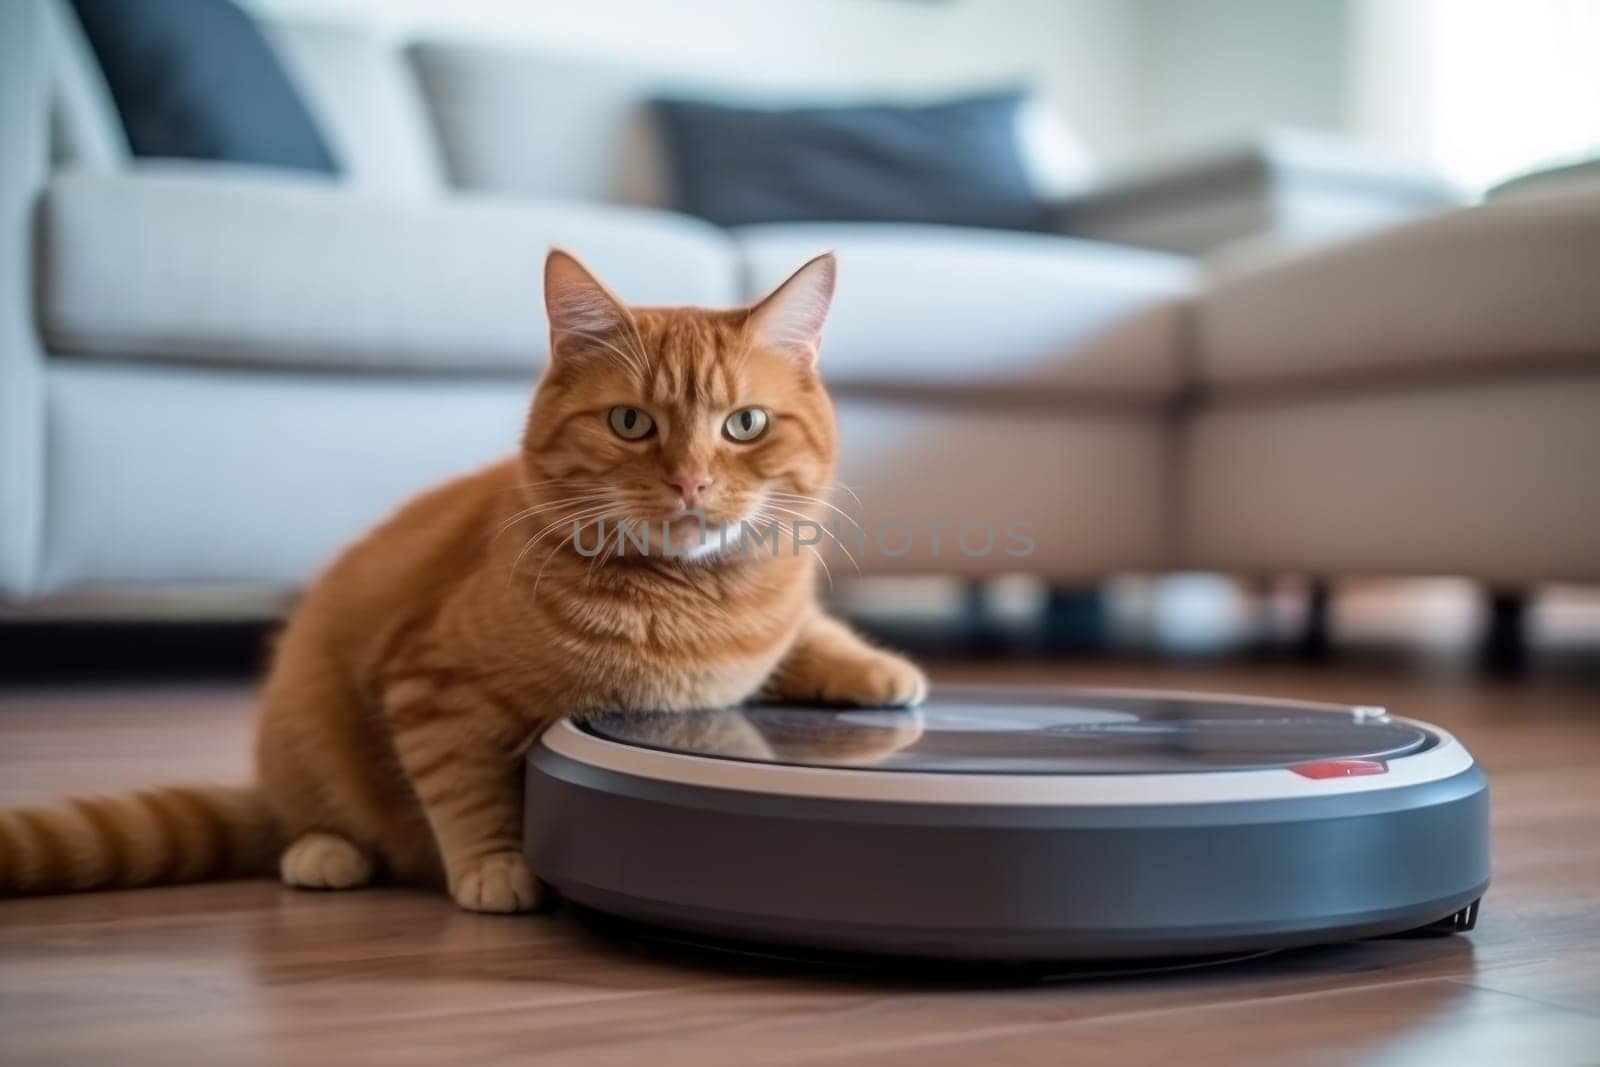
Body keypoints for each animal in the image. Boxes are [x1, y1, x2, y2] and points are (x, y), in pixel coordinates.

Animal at [0, 247, 928, 908]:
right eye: (631, 423)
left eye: (745, 424)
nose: (691, 481)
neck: (695, 599)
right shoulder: (431, 686)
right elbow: (464, 788)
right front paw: (495, 865)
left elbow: (808, 631)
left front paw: (878, 669)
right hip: (304, 724)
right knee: (296, 824)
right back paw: (325, 851)